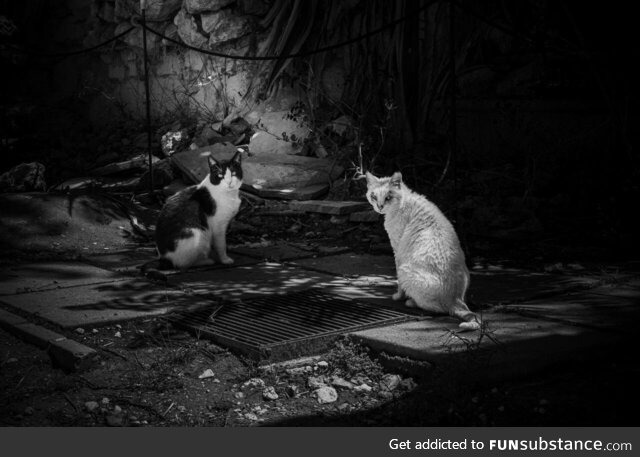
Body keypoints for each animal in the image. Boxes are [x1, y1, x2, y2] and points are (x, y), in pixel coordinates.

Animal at [364, 170, 480, 328]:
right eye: (374, 196)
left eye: (388, 198)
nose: (380, 206)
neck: (404, 201)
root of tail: (456, 299)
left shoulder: (397, 251)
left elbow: (399, 284)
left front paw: (398, 297)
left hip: (405, 270)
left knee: (438, 309)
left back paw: (410, 302)